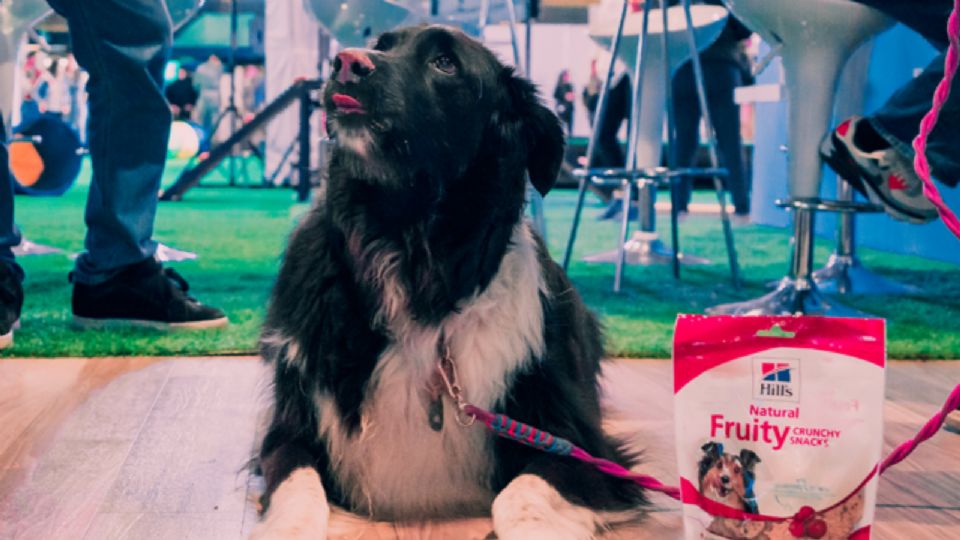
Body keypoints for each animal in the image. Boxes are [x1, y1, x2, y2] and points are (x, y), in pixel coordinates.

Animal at [253, 25, 644, 540]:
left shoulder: (578, 447)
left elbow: (518, 498)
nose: (345, 62)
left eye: (445, 63)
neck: (409, 252)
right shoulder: (290, 432)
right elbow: (298, 488)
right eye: (380, 43)